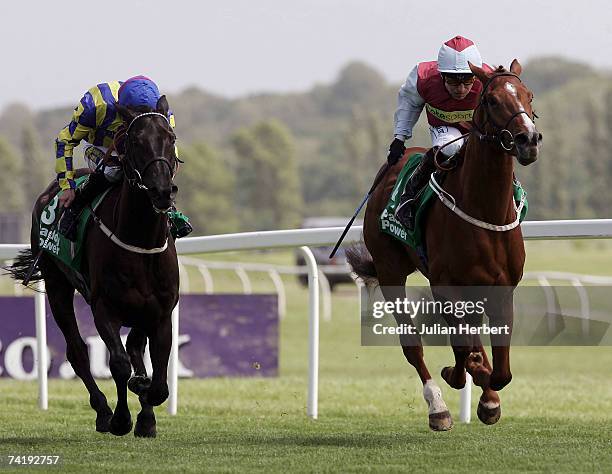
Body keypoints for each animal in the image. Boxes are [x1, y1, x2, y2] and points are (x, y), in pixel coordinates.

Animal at [7, 96, 179, 436]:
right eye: (136, 141)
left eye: (170, 138)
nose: (162, 192)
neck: (140, 242)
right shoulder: (104, 308)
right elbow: (119, 364)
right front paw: (121, 418)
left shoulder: (161, 312)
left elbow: (157, 375)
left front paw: (146, 412)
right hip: (57, 285)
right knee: (77, 351)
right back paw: (102, 411)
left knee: (134, 347)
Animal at [346, 59, 544, 430]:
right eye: (492, 100)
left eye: (529, 95)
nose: (529, 139)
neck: (485, 210)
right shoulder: (444, 285)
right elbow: (463, 351)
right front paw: (462, 373)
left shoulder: (502, 287)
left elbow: (502, 370)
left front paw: (489, 396)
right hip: (391, 270)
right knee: (413, 345)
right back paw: (437, 406)